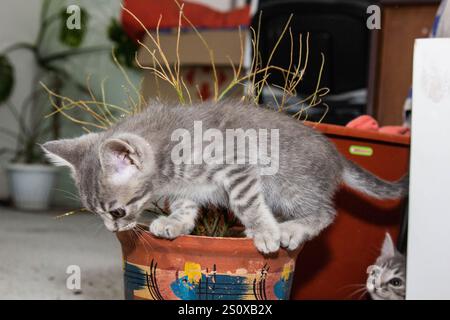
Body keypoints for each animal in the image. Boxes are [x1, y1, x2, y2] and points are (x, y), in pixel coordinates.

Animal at [41, 101, 408, 254]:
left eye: (117, 212)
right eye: (98, 213)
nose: (112, 229)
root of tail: (336, 155)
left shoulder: (236, 165)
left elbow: (247, 203)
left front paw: (265, 233)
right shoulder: (187, 186)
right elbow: (186, 205)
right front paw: (175, 223)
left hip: (288, 186)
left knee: (326, 213)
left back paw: (291, 229)